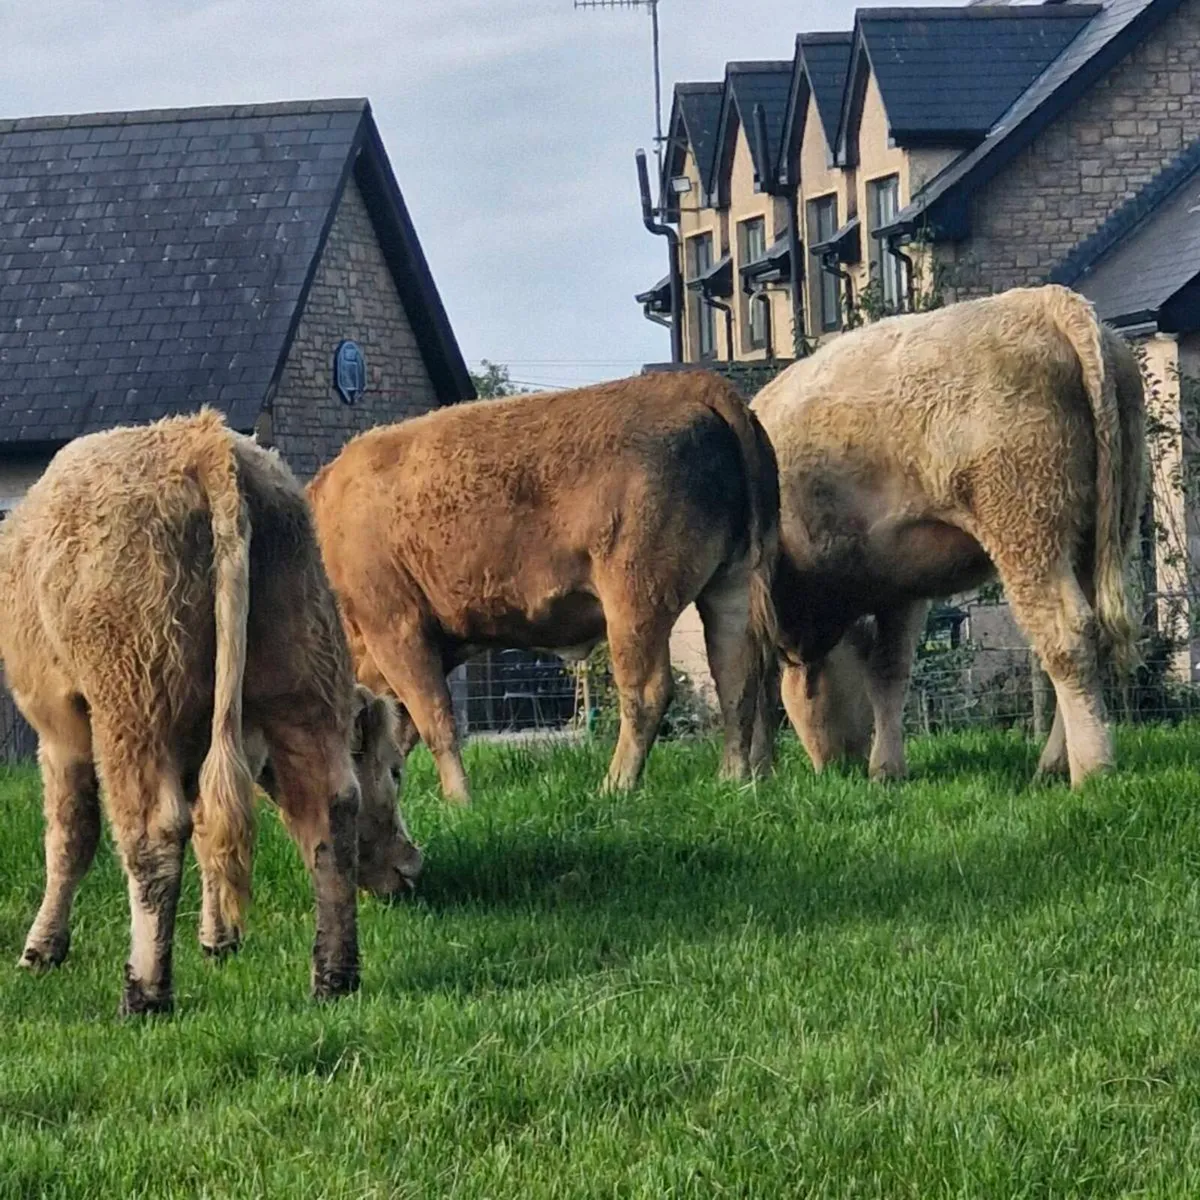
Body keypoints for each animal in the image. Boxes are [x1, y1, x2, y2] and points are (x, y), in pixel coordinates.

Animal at [0, 409, 421, 1015]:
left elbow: (70, 836)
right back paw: (334, 976)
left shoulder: (61, 728)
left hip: (133, 708)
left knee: (153, 831)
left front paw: (41, 948)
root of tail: (206, 441)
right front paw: (218, 937)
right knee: (330, 807)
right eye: (395, 771)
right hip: (302, 682)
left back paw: (146, 991)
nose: (411, 865)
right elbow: (209, 829)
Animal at [305, 370, 780, 804]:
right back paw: (732, 779)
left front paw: (460, 802)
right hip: (729, 585)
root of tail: (690, 383)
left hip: (635, 601)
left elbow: (434, 720)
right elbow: (404, 725)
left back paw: (614, 786)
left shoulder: (396, 628)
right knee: (736, 676)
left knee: (647, 691)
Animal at [750, 285, 1146, 788]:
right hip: (1104, 532)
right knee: (1088, 634)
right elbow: (889, 672)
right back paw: (1054, 763)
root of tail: (1048, 302)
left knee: (1066, 637)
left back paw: (1091, 770)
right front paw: (887, 769)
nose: (833, 767)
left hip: (1027, 531)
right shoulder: (900, 588)